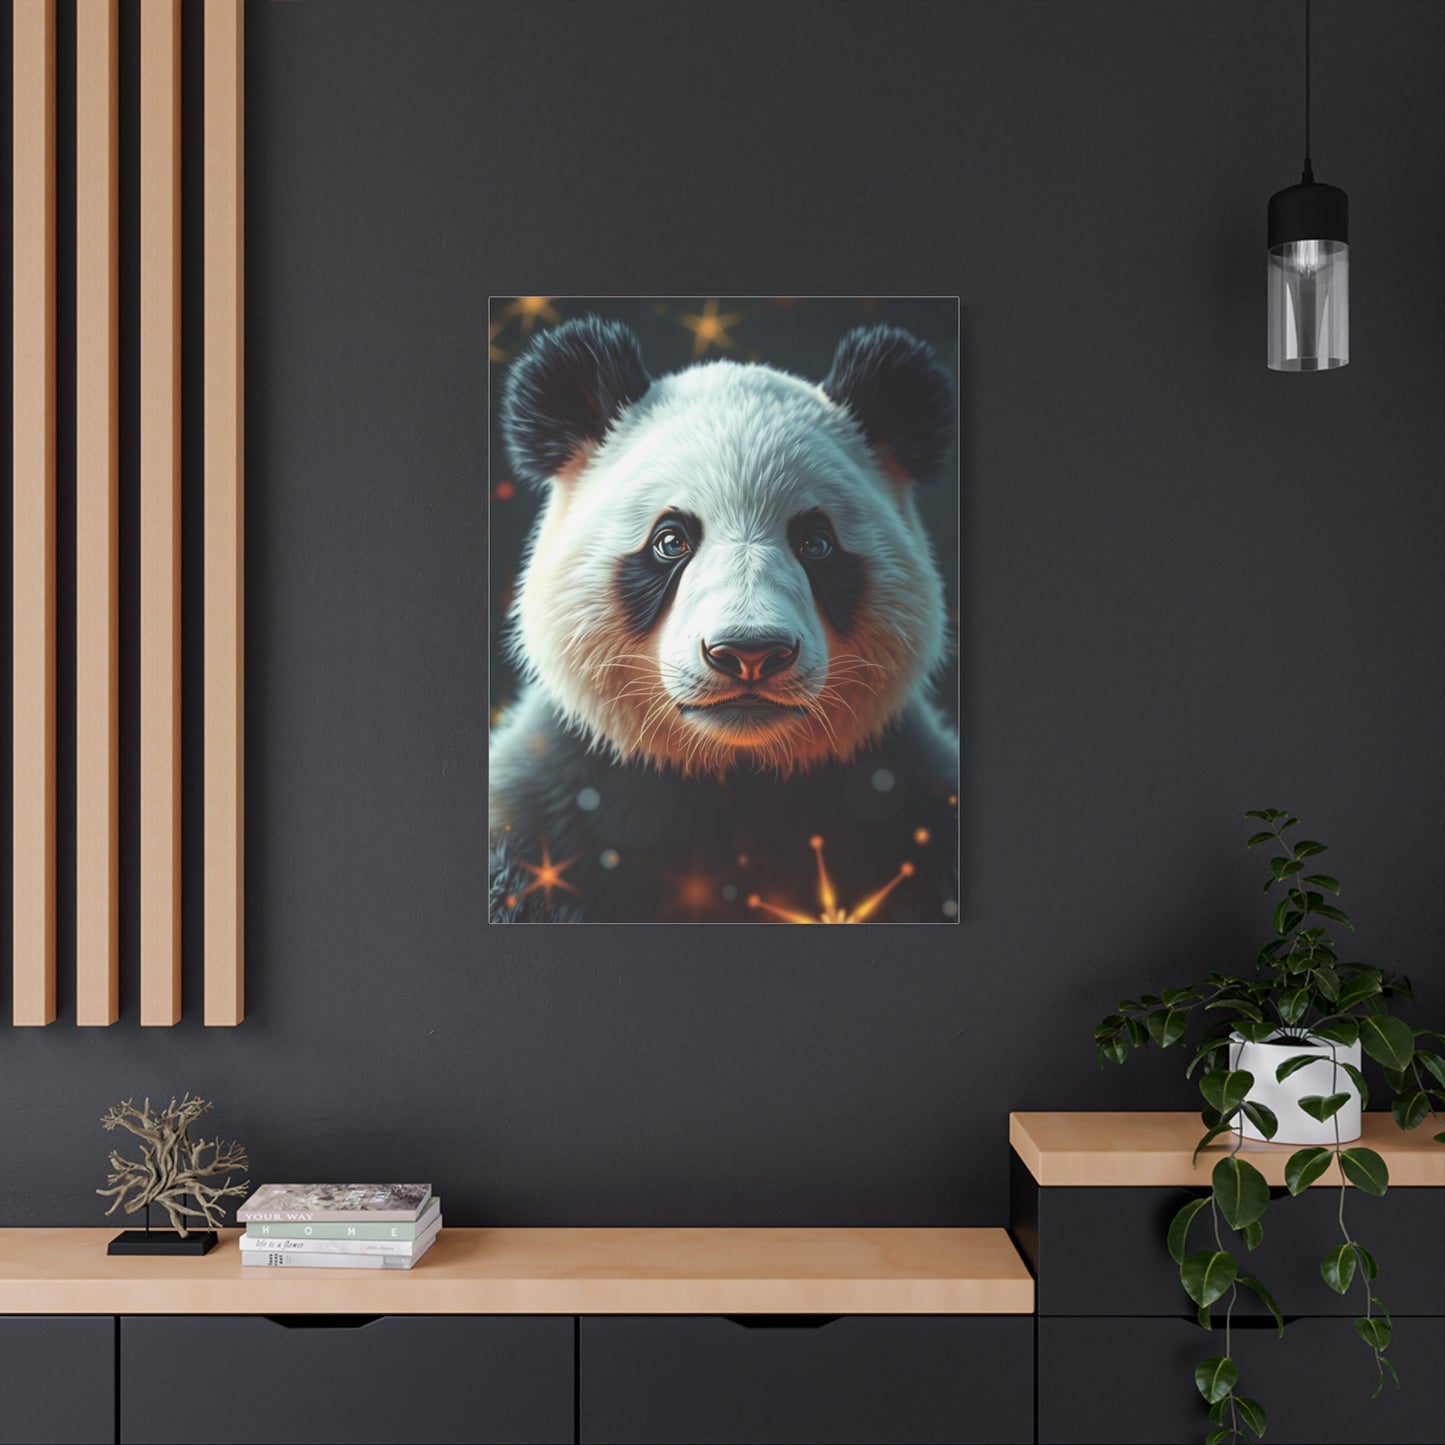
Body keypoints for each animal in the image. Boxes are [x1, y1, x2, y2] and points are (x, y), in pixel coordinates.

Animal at [490, 315, 958, 924]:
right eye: (671, 541)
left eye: (816, 543)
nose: (750, 653)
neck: (733, 779)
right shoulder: (549, 812)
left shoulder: (912, 805)